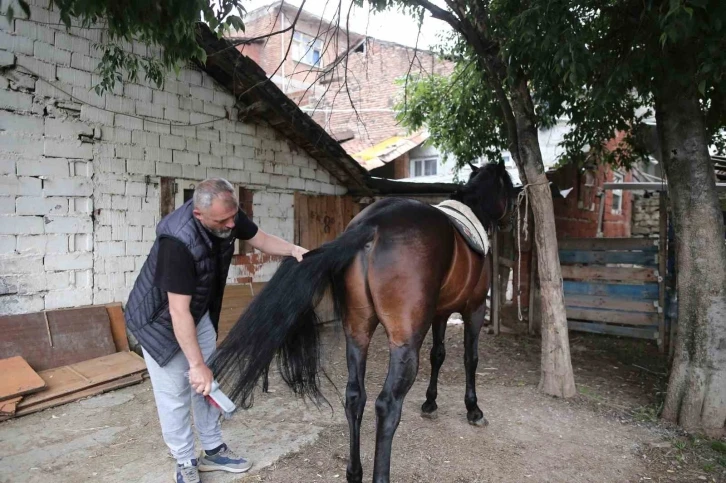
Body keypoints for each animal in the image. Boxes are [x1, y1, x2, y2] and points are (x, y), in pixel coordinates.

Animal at [210, 161, 516, 482]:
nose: (511, 218)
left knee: (355, 396)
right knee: (387, 405)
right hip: (404, 344)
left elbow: (439, 355)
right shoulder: (474, 309)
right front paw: (474, 410)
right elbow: (471, 358)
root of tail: (373, 225)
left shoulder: (441, 313)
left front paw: (430, 403)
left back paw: (354, 471)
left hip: (357, 333)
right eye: (509, 188)